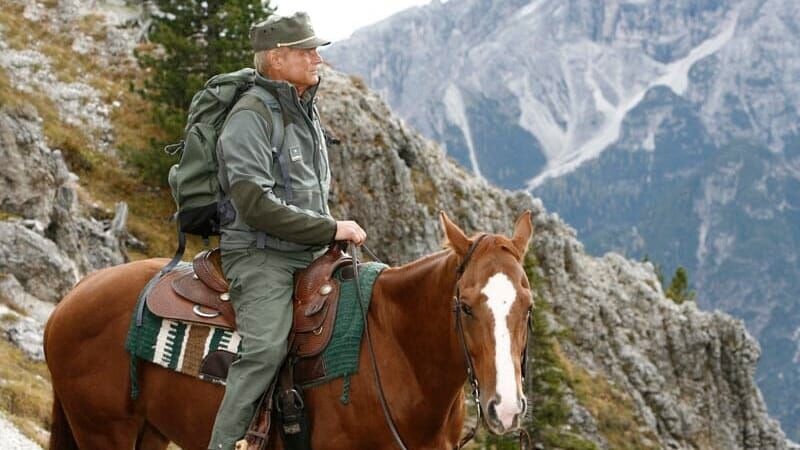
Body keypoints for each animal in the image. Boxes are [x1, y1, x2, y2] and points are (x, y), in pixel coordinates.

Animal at [42, 212, 532, 450]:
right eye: (465, 306)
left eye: (528, 308)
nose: (505, 409)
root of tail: (75, 294)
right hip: (104, 432)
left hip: (149, 433)